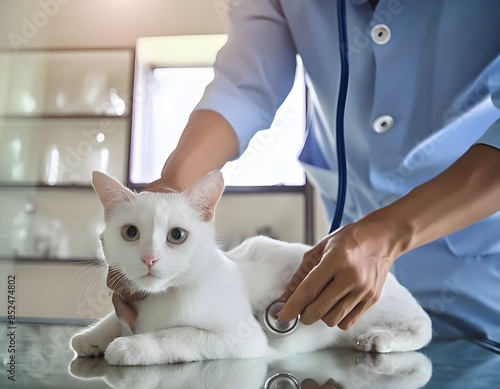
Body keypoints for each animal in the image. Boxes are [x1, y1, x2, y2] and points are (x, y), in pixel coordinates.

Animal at [71, 170, 434, 364]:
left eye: (177, 235)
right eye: (131, 233)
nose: (149, 258)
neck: (159, 299)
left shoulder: (242, 340)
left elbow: (175, 335)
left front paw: (132, 346)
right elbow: (112, 320)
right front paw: (92, 338)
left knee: (422, 327)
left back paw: (381, 339)